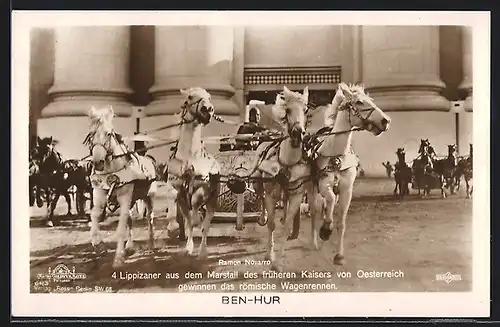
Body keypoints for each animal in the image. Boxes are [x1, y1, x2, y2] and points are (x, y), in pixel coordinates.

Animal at [84, 105, 158, 270]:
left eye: (108, 133)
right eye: (91, 134)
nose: (98, 162)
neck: (112, 170)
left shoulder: (125, 197)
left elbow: (120, 227)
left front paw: (118, 258)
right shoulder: (99, 194)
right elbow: (95, 215)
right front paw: (98, 244)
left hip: (148, 197)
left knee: (149, 218)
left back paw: (151, 244)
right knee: (129, 220)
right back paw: (130, 246)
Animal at [166, 87, 221, 258]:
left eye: (209, 96)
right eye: (190, 97)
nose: (207, 109)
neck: (190, 156)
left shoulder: (202, 186)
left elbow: (196, 203)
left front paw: (198, 219)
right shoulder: (178, 188)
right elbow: (173, 199)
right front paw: (173, 227)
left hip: (212, 201)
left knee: (206, 225)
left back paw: (202, 251)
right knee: (189, 222)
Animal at [252, 85, 310, 272]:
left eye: (306, 110)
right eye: (288, 110)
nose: (298, 133)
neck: (287, 162)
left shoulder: (297, 196)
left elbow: (286, 227)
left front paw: (280, 261)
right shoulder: (271, 194)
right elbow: (271, 224)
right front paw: (270, 256)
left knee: (284, 204)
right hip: (258, 184)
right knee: (261, 198)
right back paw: (262, 217)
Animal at [308, 82, 390, 266]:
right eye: (359, 102)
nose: (386, 121)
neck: (336, 154)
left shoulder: (346, 191)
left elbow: (342, 224)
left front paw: (339, 255)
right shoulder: (324, 185)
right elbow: (330, 201)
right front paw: (325, 230)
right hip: (311, 189)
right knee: (315, 211)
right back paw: (315, 241)